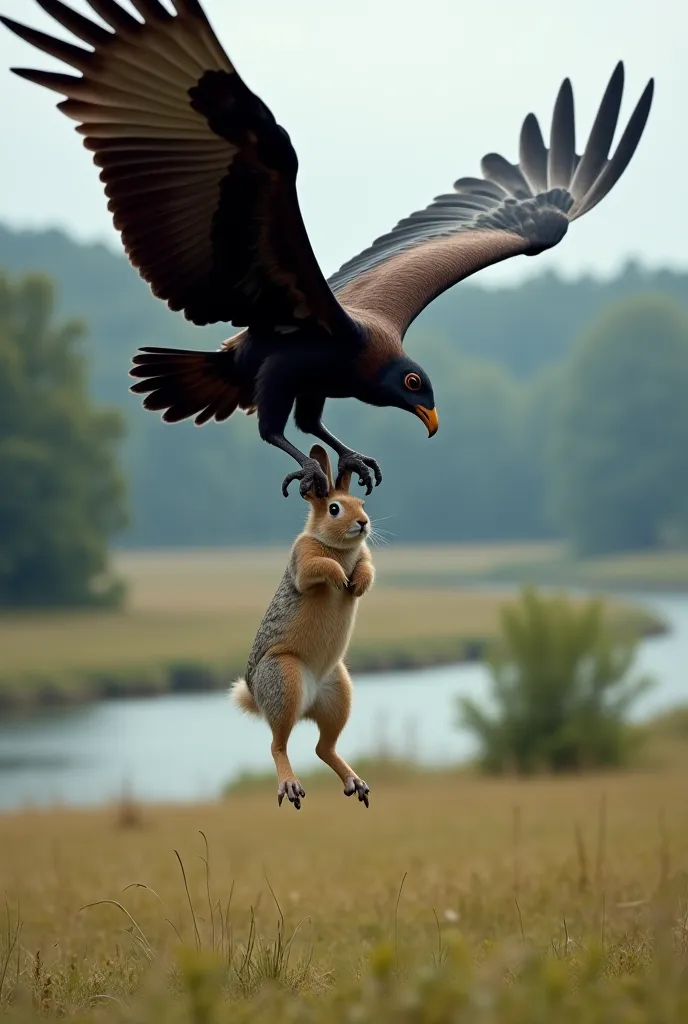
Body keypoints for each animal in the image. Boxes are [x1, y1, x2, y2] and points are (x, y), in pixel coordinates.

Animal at [231, 444, 372, 811]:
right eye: (334, 509)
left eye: (362, 503)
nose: (363, 523)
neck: (338, 547)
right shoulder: (303, 561)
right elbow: (317, 568)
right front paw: (339, 577)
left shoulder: (364, 555)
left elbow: (367, 567)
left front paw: (358, 584)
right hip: (285, 678)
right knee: (277, 745)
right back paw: (291, 785)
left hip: (339, 693)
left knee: (324, 747)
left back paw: (355, 782)